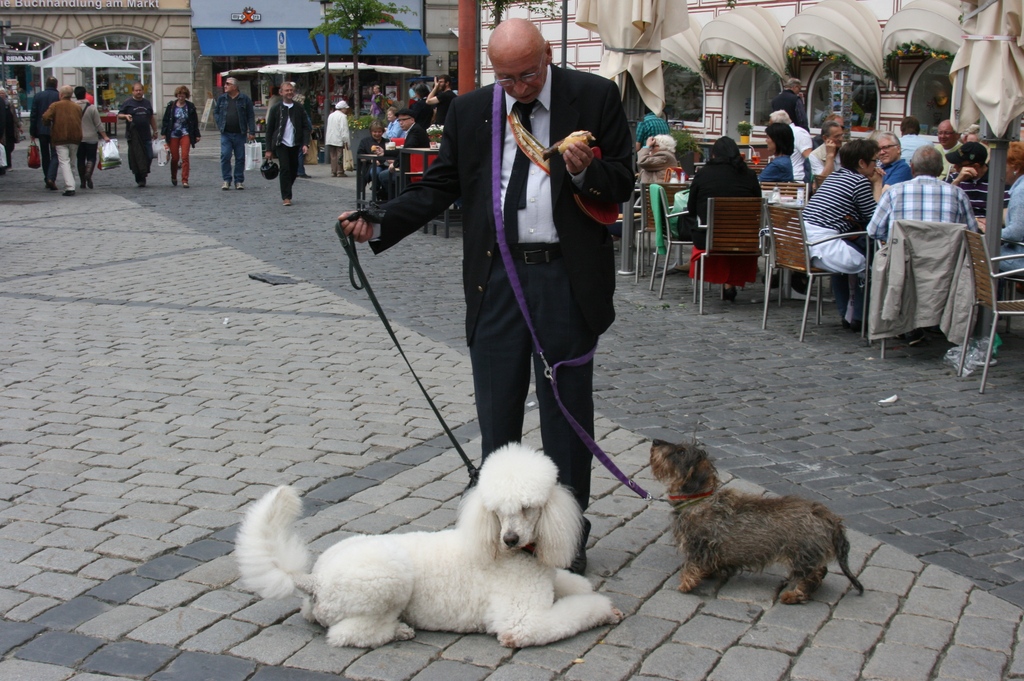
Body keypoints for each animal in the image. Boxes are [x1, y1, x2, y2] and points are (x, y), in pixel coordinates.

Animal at [647, 438, 864, 602]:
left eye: (681, 452)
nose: (655, 441)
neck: (699, 500)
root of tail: (830, 518)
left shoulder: (698, 546)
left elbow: (691, 566)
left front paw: (686, 584)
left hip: (802, 555)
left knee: (813, 575)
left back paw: (794, 595)